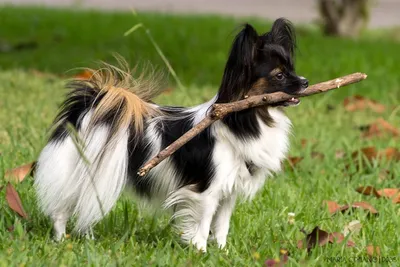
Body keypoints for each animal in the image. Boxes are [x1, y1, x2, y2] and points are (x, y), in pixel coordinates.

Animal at [34, 17, 310, 252]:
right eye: (279, 75)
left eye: (292, 69)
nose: (306, 82)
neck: (245, 117)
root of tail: (89, 106)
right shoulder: (205, 193)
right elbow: (202, 226)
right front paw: (200, 252)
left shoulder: (228, 192)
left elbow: (221, 226)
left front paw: (222, 252)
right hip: (79, 172)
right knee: (61, 210)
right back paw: (61, 241)